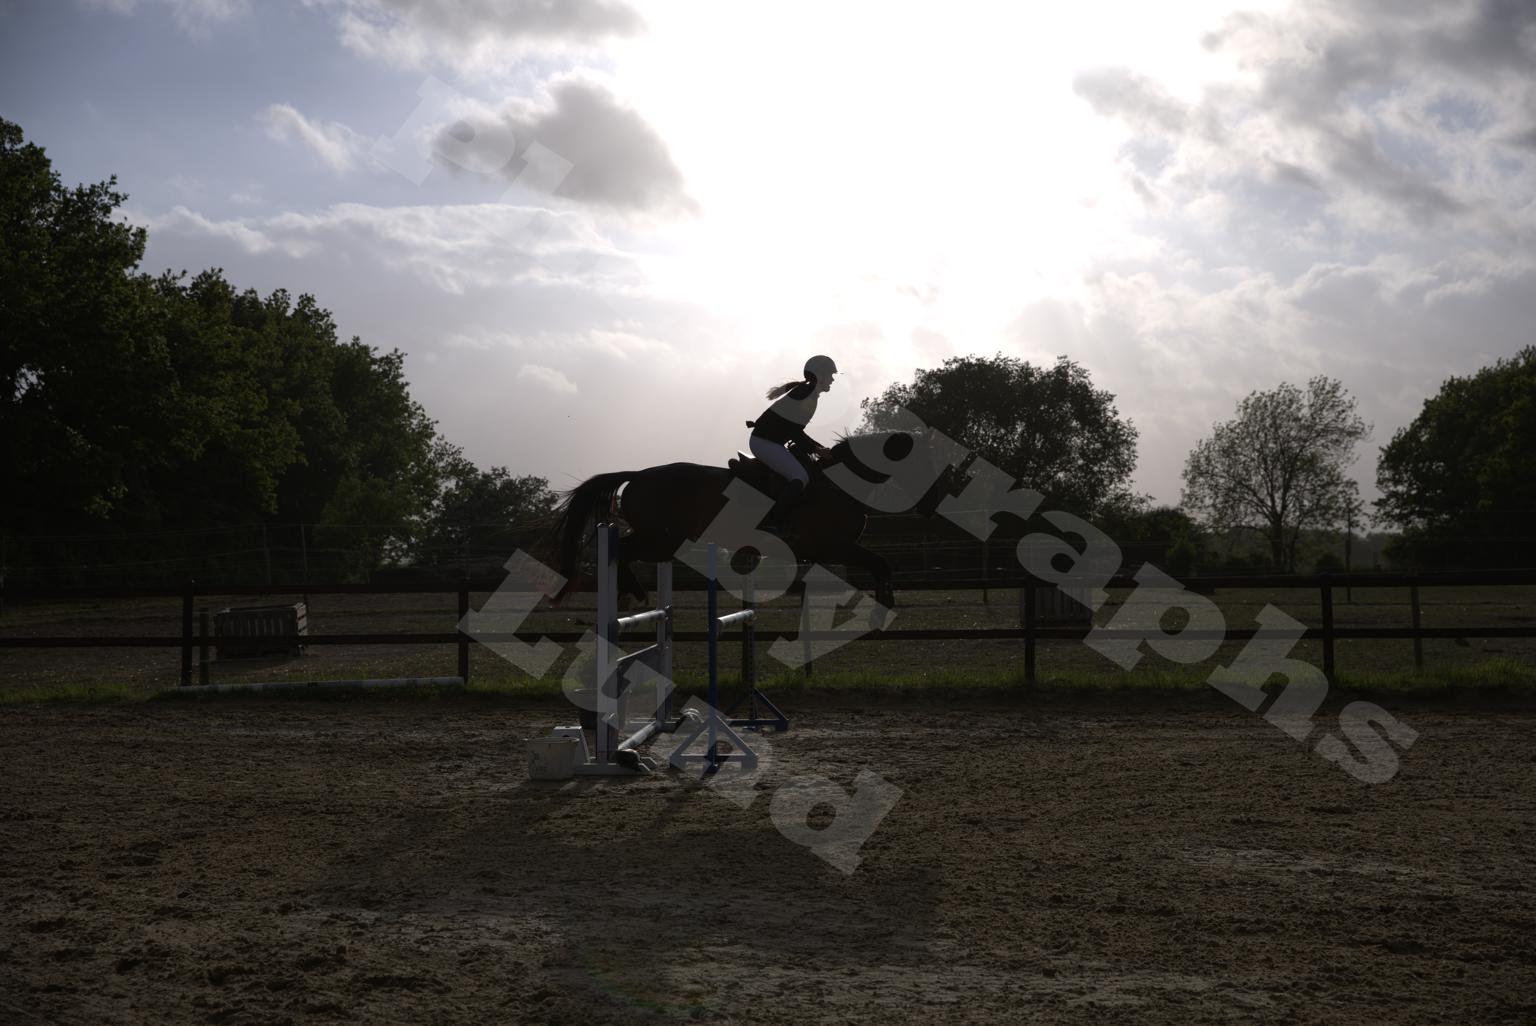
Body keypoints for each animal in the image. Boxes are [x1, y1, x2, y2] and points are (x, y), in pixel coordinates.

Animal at [540, 430, 966, 610]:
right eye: (922, 464)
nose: (931, 505)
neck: (836, 486)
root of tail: (639, 475)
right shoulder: (835, 546)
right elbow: (881, 564)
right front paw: (885, 601)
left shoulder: (835, 550)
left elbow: (881, 567)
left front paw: (885, 599)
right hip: (661, 539)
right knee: (619, 550)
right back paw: (634, 592)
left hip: (662, 541)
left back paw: (628, 593)